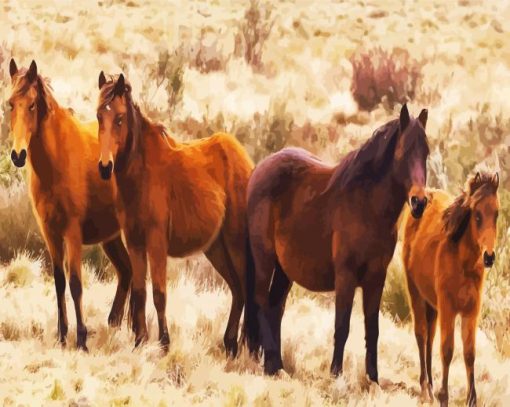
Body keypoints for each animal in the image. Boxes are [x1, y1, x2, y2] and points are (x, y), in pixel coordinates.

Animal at [7, 59, 133, 350]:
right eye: (10, 104)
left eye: (32, 105)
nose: (18, 155)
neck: (57, 161)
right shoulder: (51, 234)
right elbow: (59, 282)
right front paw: (63, 335)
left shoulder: (72, 234)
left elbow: (75, 283)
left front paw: (82, 339)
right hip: (111, 238)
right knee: (127, 271)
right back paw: (115, 324)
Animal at [94, 73, 253, 356]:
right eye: (99, 115)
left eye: (120, 118)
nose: (105, 166)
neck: (141, 174)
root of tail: (247, 162)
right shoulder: (135, 242)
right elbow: (139, 291)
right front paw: (140, 340)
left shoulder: (156, 242)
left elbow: (159, 293)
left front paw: (164, 343)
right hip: (216, 249)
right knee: (238, 291)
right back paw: (230, 344)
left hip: (236, 245)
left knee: (248, 289)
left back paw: (245, 345)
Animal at [245, 105, 428, 380]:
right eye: (404, 151)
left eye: (426, 152)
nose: (419, 202)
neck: (367, 206)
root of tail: (259, 169)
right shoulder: (346, 275)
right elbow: (342, 326)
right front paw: (336, 374)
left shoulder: (376, 277)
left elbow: (372, 329)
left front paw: (373, 378)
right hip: (264, 260)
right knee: (260, 303)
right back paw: (272, 365)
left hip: (284, 271)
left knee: (275, 308)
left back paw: (276, 365)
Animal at [402, 173, 498, 407]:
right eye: (477, 215)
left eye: (497, 214)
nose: (489, 257)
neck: (464, 265)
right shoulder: (448, 309)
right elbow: (447, 350)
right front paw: (443, 396)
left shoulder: (471, 312)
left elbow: (469, 353)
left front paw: (472, 399)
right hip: (416, 293)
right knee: (421, 334)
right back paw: (425, 389)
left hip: (432, 304)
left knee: (430, 337)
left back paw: (430, 385)